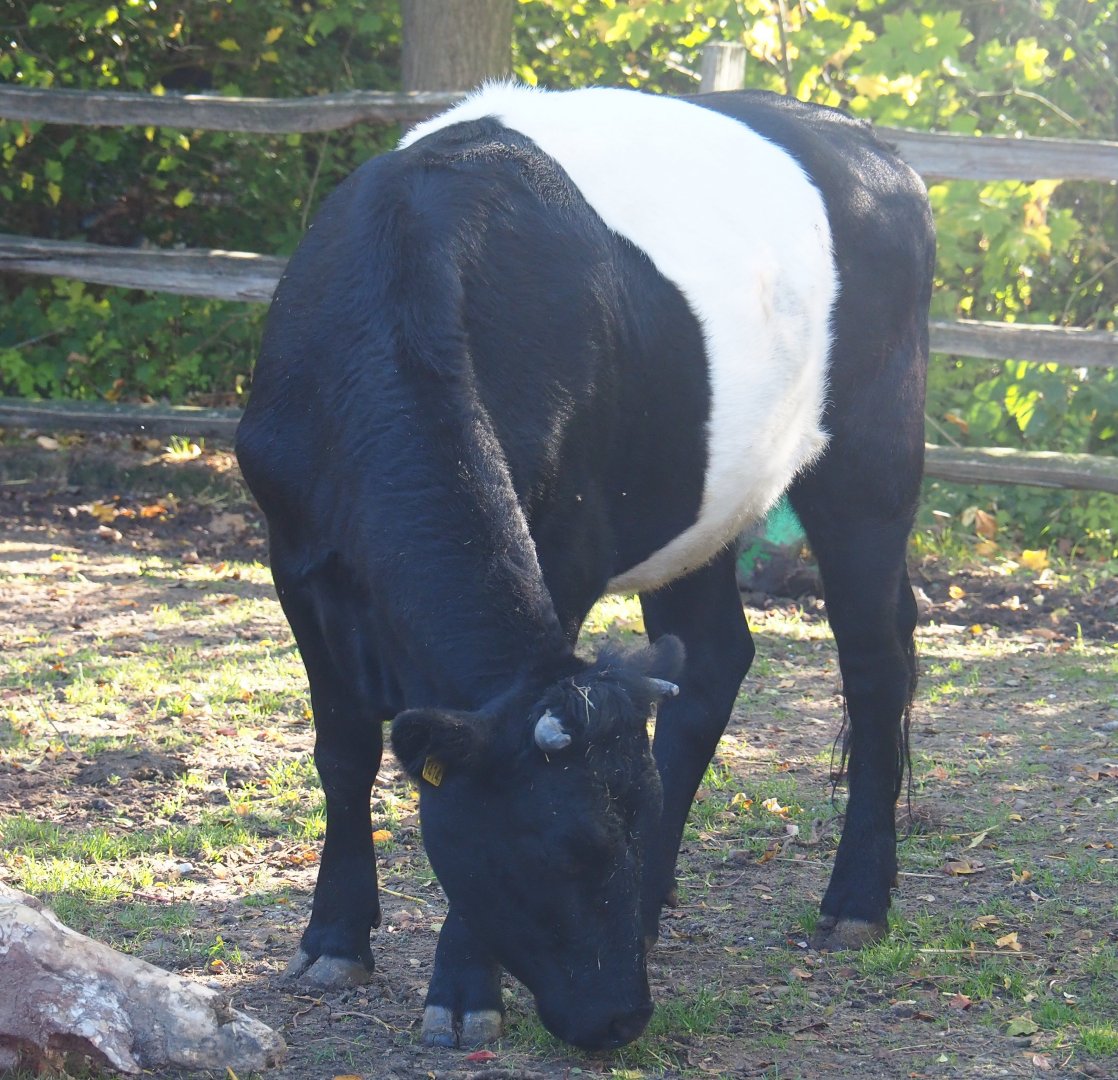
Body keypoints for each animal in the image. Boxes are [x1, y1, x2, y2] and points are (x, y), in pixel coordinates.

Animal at [234, 83, 934, 1052]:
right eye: (568, 851)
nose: (621, 1016)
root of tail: (866, 144)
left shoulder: (563, 552)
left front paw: (464, 990)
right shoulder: (295, 558)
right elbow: (342, 750)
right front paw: (333, 941)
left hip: (871, 461)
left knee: (875, 665)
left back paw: (858, 901)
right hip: (695, 498)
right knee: (714, 660)